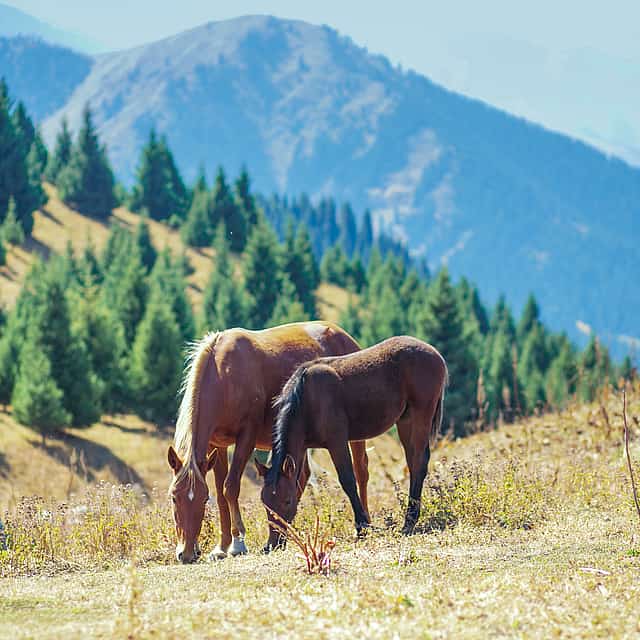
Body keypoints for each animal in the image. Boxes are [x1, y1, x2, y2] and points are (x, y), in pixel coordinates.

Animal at [166, 321, 367, 563]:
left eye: (204, 500)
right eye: (174, 497)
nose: (186, 553)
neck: (224, 375)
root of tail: (344, 336)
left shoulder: (247, 437)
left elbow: (230, 487)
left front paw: (238, 543)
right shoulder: (217, 445)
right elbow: (221, 493)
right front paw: (222, 547)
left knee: (361, 471)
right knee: (301, 476)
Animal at [256, 335, 447, 547]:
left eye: (287, 501)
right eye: (265, 503)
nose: (272, 543)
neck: (306, 399)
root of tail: (435, 354)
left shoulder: (337, 441)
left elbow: (347, 480)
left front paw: (362, 526)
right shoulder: (304, 448)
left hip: (421, 415)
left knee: (419, 462)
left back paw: (410, 521)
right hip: (405, 421)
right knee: (413, 463)